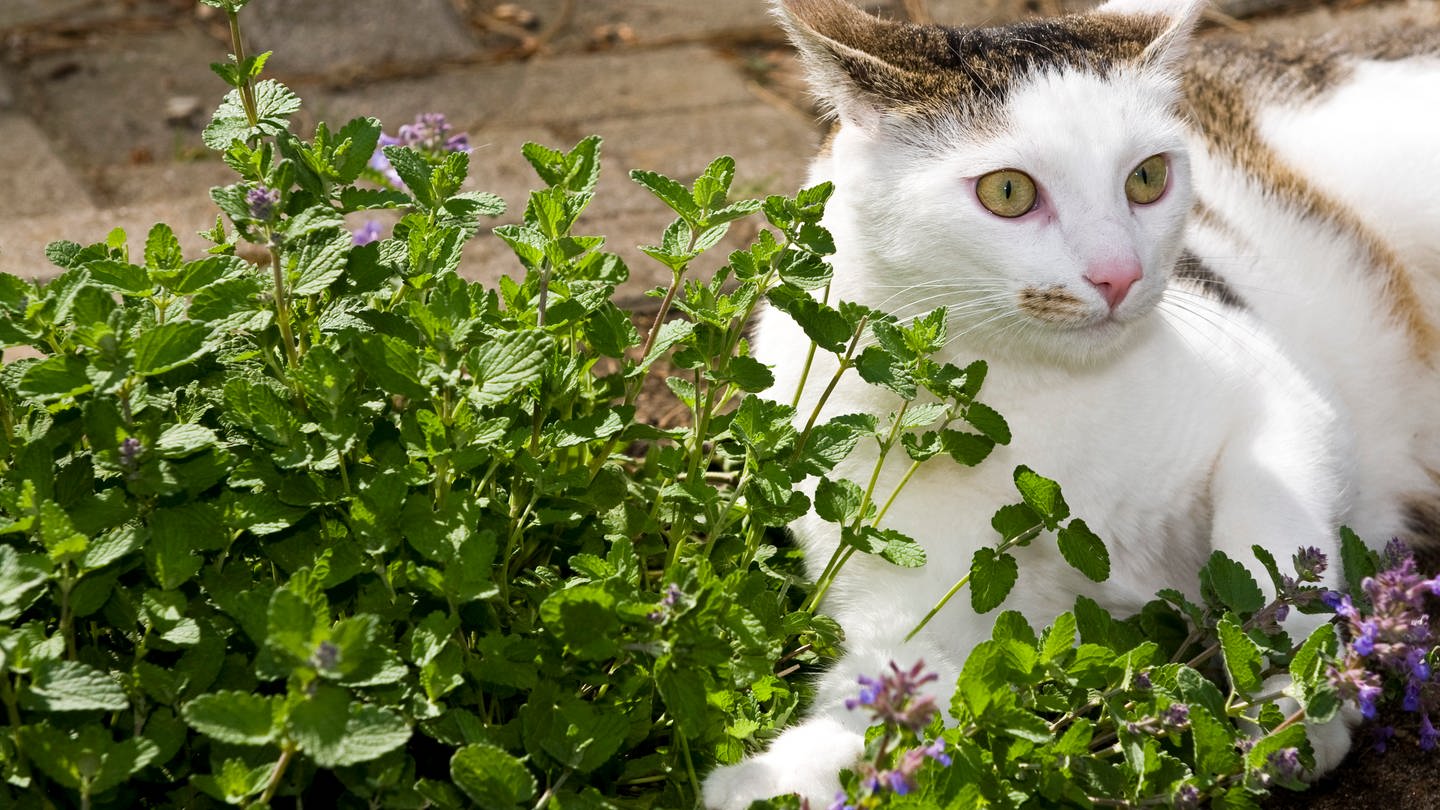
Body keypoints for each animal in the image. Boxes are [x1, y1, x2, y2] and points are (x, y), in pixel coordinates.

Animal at [702, 0, 1440, 801]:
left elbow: (1269, 533)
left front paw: (1295, 700)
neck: (1038, 395)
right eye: (1008, 192)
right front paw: (769, 779)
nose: (1119, 274)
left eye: (1147, 178)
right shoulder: (918, 597)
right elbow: (888, 691)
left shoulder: (1283, 395)